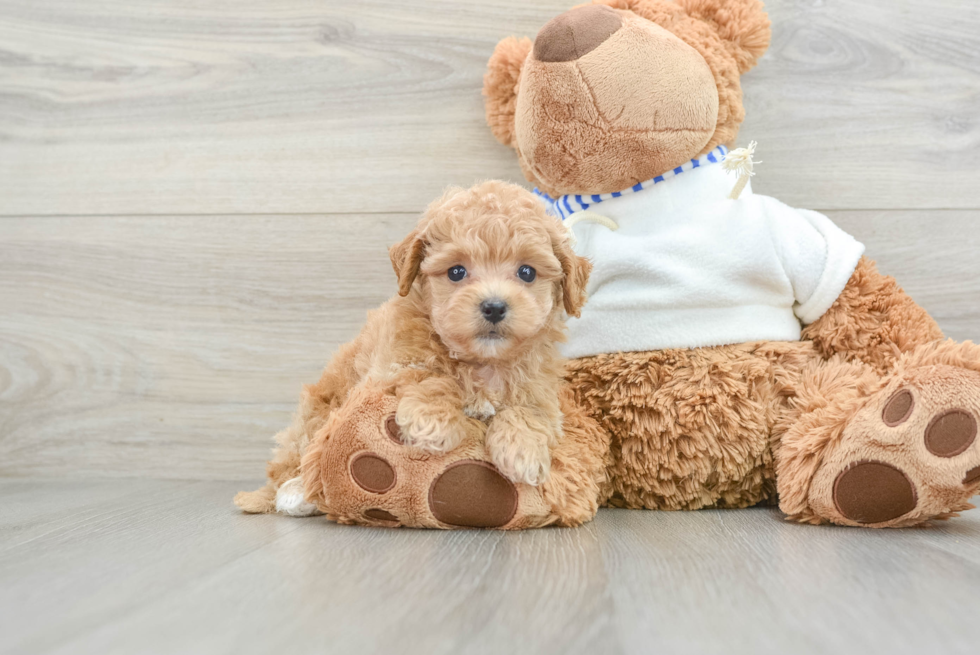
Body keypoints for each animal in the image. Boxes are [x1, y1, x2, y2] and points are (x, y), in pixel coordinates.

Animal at [235, 181, 588, 516]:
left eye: (527, 272)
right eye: (456, 272)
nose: (494, 307)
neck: (482, 362)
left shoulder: (539, 384)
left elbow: (530, 409)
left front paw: (523, 450)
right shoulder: (392, 365)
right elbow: (429, 376)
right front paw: (432, 421)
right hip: (316, 414)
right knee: (294, 461)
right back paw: (294, 494)